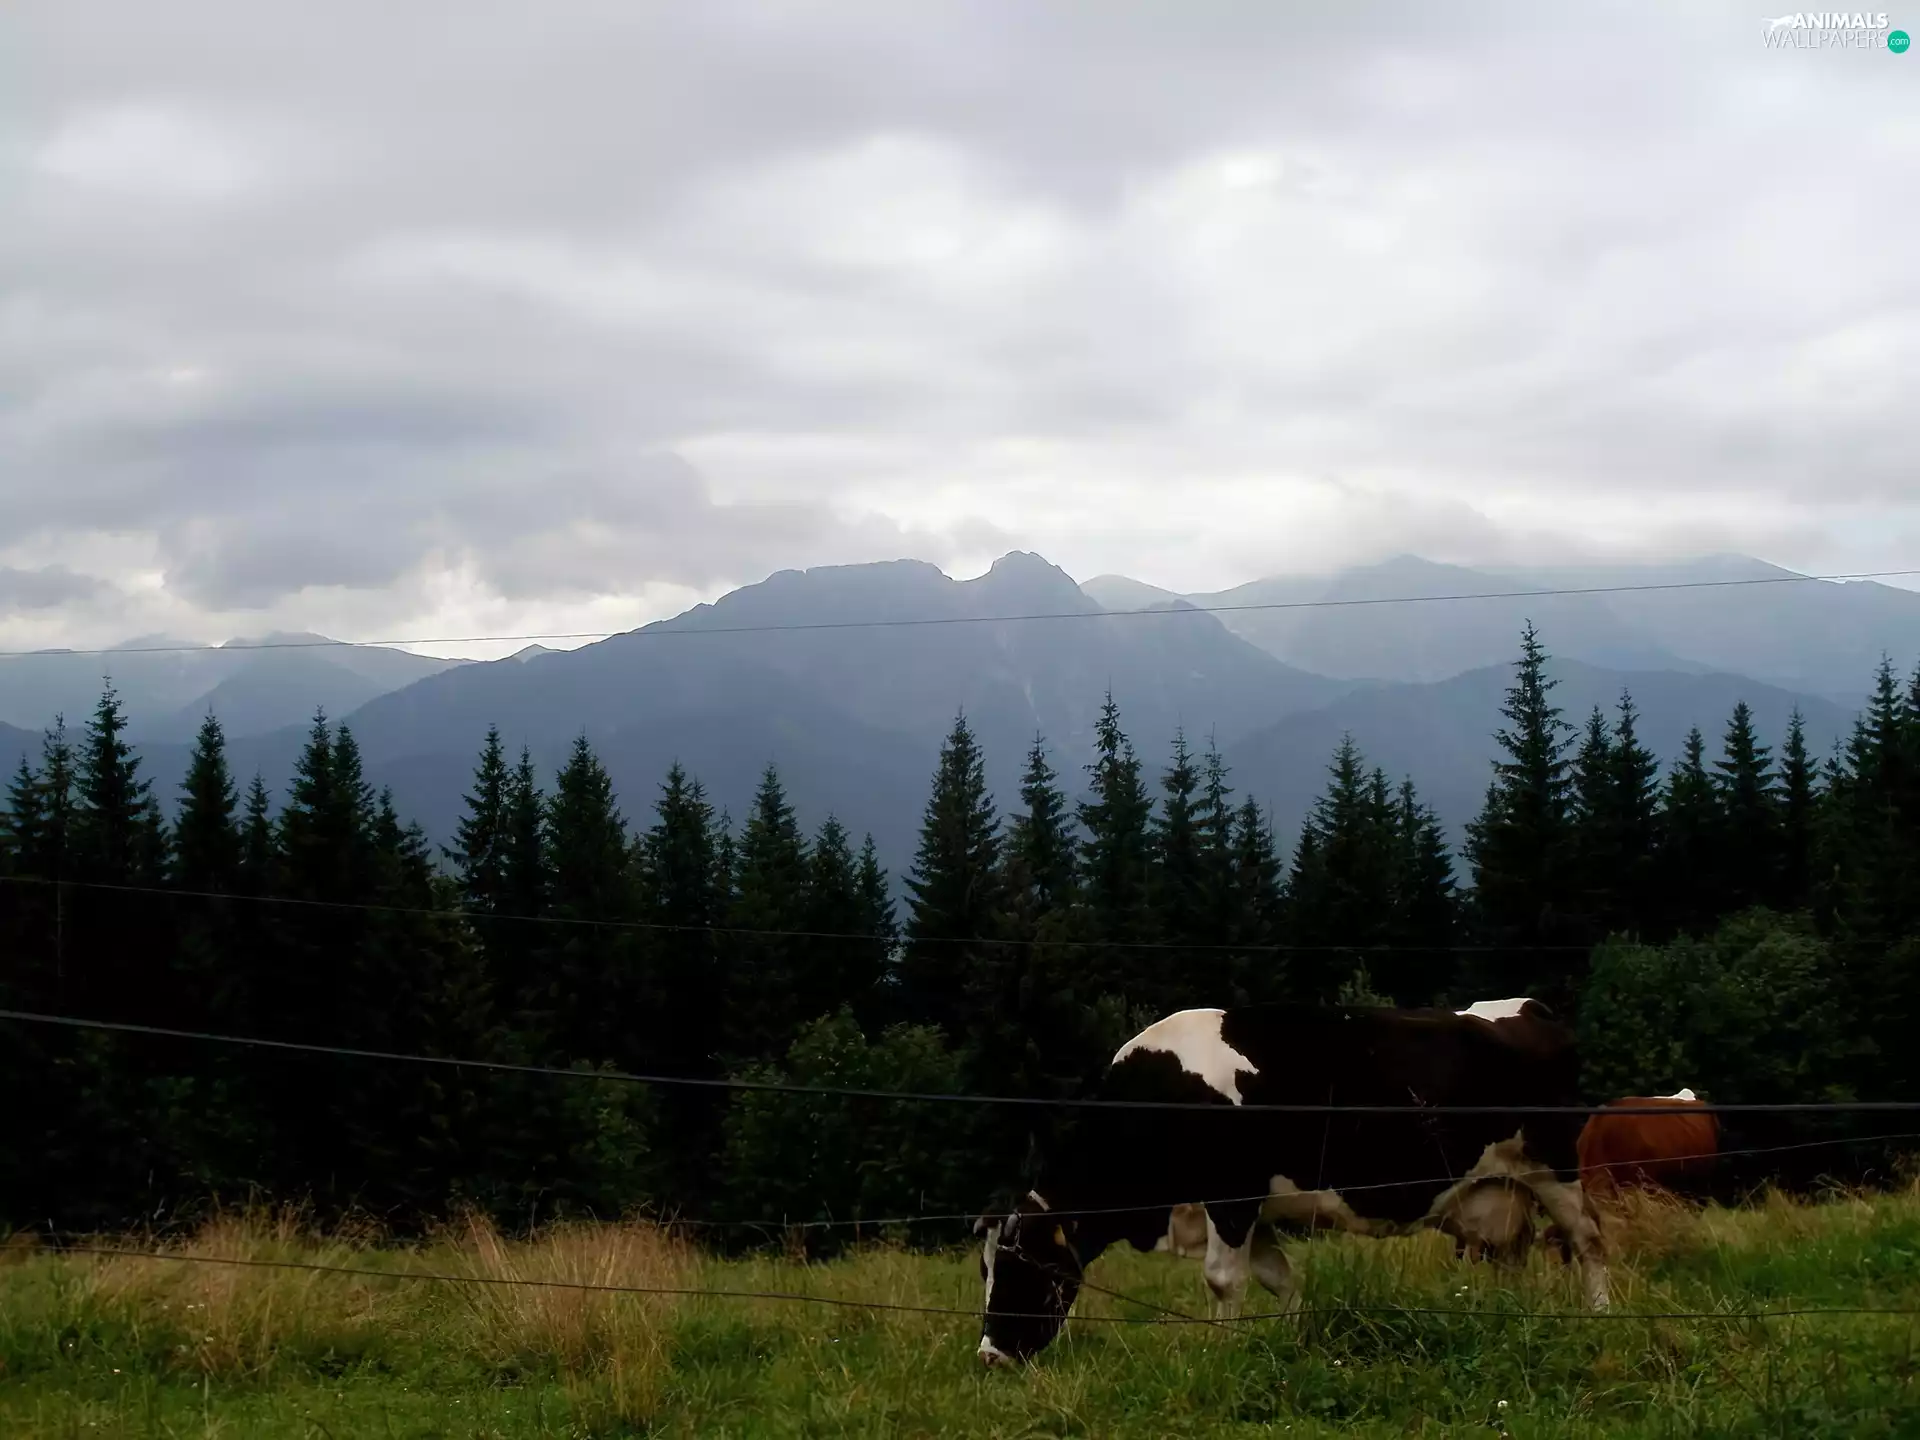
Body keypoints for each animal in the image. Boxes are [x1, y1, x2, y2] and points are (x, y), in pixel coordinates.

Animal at [974, 1000, 1609, 1366]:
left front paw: (1222, 1351)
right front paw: (1289, 1340)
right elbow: (1280, 1281)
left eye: (1023, 1268)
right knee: (1513, 1256)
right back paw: (1510, 1321)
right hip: (1498, 1190)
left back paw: (1598, 1319)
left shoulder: (1232, 1199)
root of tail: (1528, 1008)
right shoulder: (1254, 1214)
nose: (988, 1355)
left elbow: (1221, 1280)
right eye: (985, 1272)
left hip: (1556, 1168)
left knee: (1590, 1241)